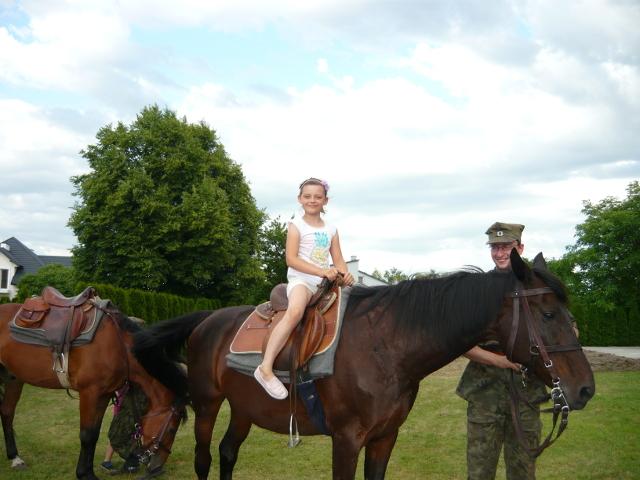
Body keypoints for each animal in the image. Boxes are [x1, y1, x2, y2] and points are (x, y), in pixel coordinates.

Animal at [0, 296, 188, 480]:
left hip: (13, 379)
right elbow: (87, 435)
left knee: (7, 413)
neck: (118, 346)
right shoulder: (90, 393)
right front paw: (84, 474)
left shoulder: (103, 395)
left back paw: (15, 458)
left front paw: (88, 472)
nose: (157, 468)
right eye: (171, 429)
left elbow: (94, 435)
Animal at [133, 251, 595, 479]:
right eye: (549, 314)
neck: (387, 347)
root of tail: (208, 318)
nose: (585, 389)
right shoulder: (346, 440)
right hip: (208, 405)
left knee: (228, 454)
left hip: (245, 409)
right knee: (205, 460)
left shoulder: (384, 438)